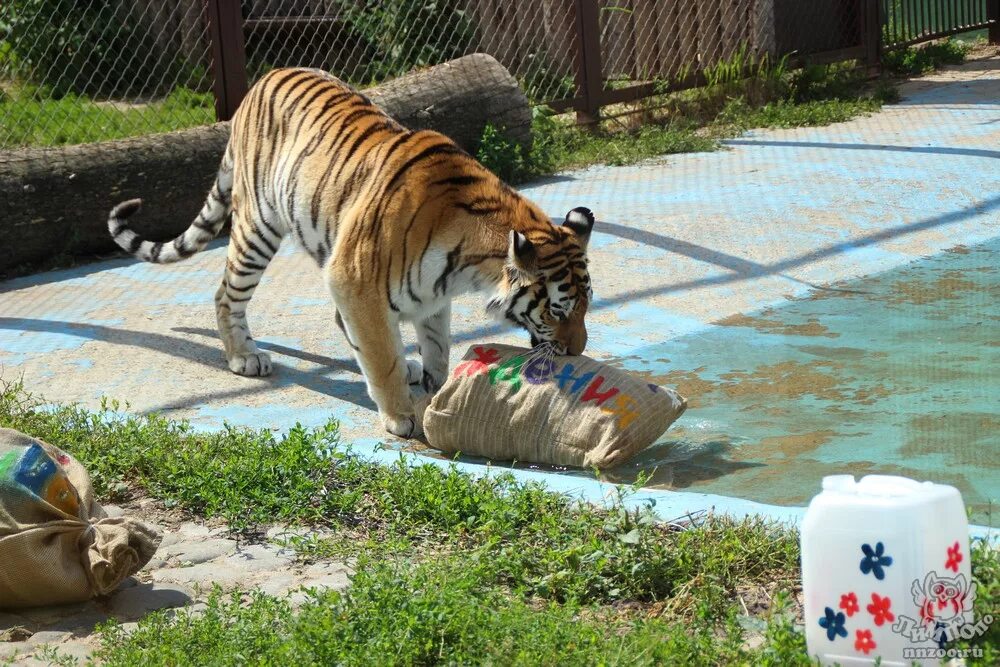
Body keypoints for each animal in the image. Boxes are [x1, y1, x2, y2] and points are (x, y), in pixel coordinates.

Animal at [109, 68, 592, 440]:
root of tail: (260, 81)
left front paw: (435, 386)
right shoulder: (355, 279)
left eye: (586, 309)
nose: (577, 353)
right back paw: (244, 356)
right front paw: (401, 415)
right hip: (258, 227)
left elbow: (435, 345)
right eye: (556, 311)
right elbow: (380, 354)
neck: (468, 265)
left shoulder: (431, 295)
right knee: (227, 294)